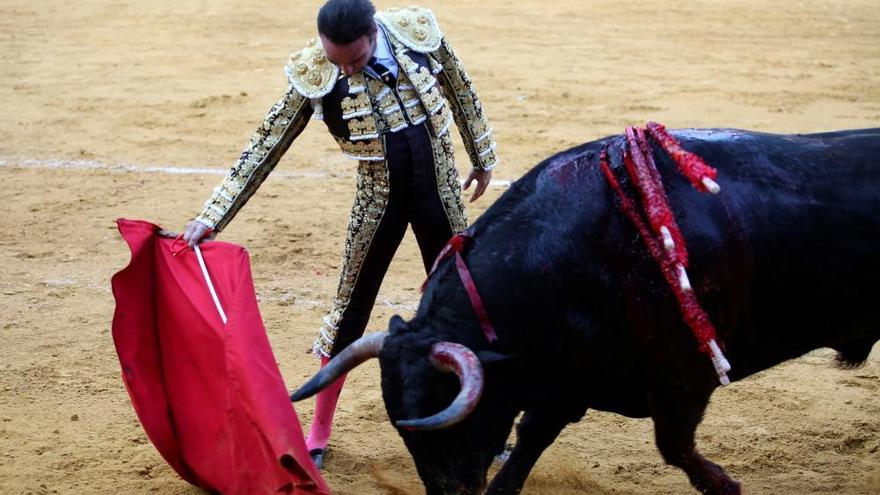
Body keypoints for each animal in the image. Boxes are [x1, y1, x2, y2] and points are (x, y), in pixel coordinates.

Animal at [292, 129, 876, 495]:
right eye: (405, 434)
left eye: (449, 422)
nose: (451, 492)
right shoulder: (565, 382)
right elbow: (528, 443)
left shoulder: (680, 378)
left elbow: (674, 446)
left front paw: (728, 484)